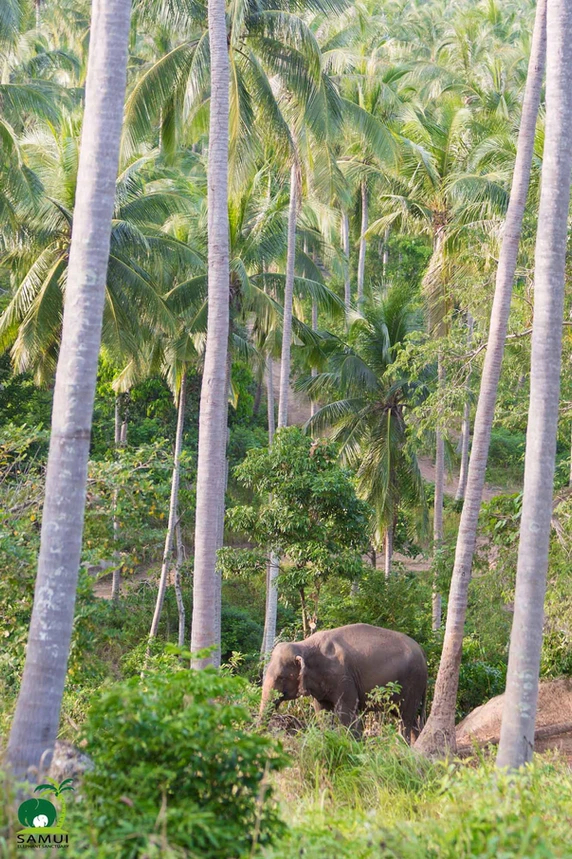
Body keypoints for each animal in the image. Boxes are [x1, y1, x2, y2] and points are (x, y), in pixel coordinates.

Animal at [259, 623, 427, 740]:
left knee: (406, 717)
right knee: (410, 719)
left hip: (413, 682)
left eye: (281, 677)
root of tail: (421, 651)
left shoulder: (343, 676)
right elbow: (322, 712)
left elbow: (346, 711)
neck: (305, 645)